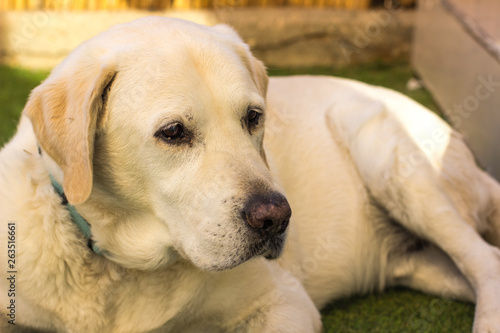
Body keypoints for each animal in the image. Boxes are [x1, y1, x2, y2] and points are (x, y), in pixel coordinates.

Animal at [0, 16, 500, 332]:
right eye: (173, 132)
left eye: (254, 118)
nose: (275, 218)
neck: (120, 267)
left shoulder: (284, 302)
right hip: (421, 266)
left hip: (383, 151)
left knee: (485, 260)